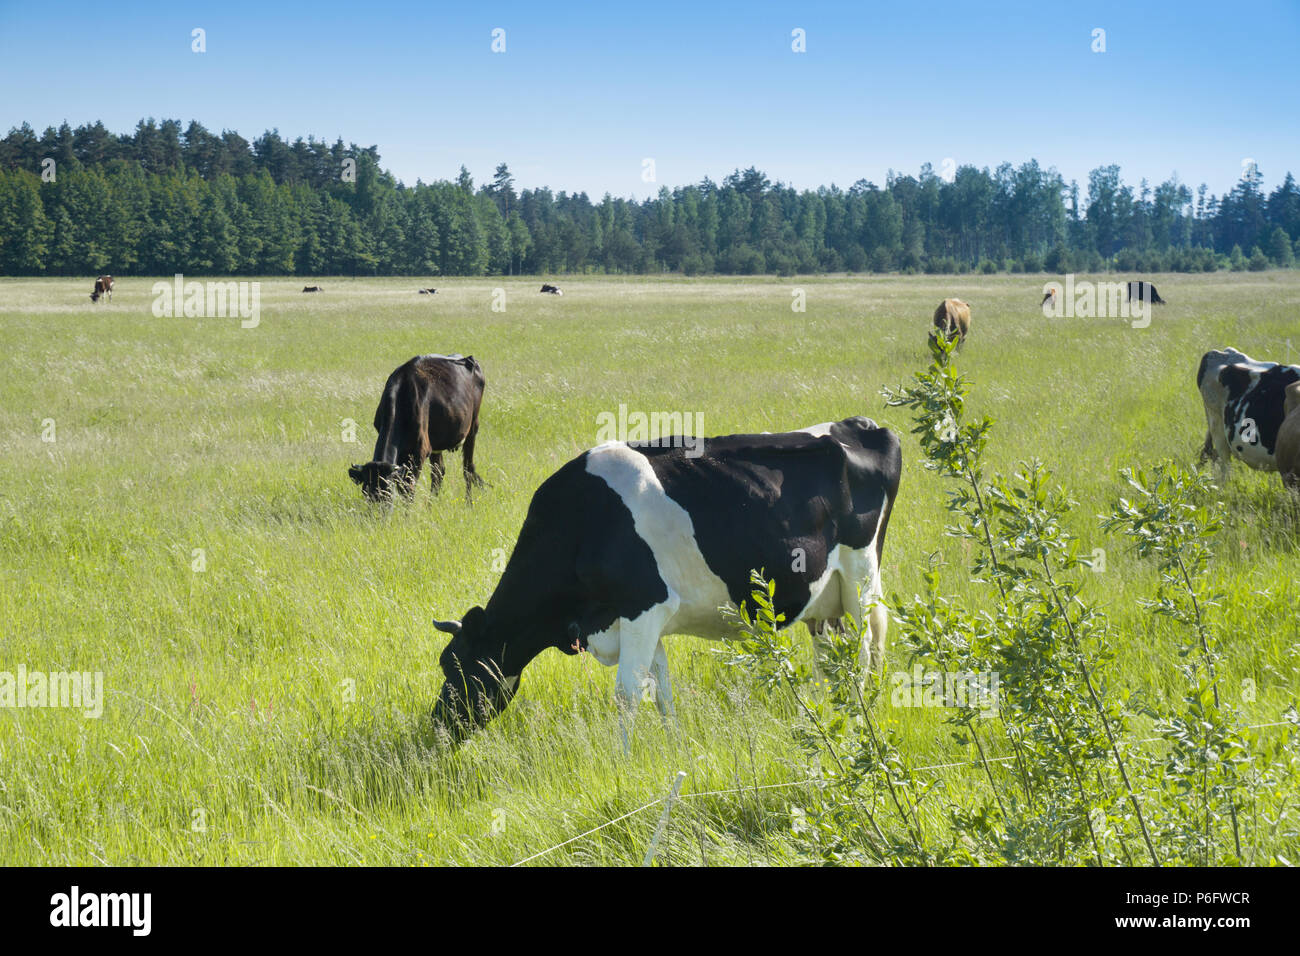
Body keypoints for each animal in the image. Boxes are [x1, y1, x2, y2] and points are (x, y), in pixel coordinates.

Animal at [349, 354, 486, 501]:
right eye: (365, 492)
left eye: (388, 493)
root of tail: (467, 358)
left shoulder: (420, 451)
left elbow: (408, 490)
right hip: (437, 443)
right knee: (438, 473)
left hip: (473, 428)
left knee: (468, 470)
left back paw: (468, 503)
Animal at [430, 417, 902, 739]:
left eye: (458, 666)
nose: (437, 728)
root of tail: (860, 425)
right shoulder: (644, 619)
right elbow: (660, 691)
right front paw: (674, 745)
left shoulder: (643, 604)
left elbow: (627, 694)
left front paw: (619, 761)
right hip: (822, 600)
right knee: (829, 661)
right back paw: (823, 716)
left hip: (860, 579)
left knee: (861, 656)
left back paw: (855, 720)